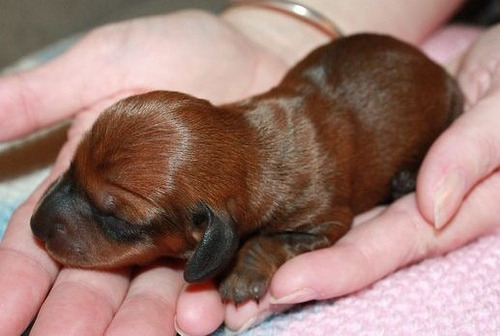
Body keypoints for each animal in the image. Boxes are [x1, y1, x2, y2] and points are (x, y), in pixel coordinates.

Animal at [30, 33, 460, 302]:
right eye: (72, 166)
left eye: (117, 219)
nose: (35, 227)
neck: (251, 145)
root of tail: (436, 67)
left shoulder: (324, 219)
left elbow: (267, 239)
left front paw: (241, 276)